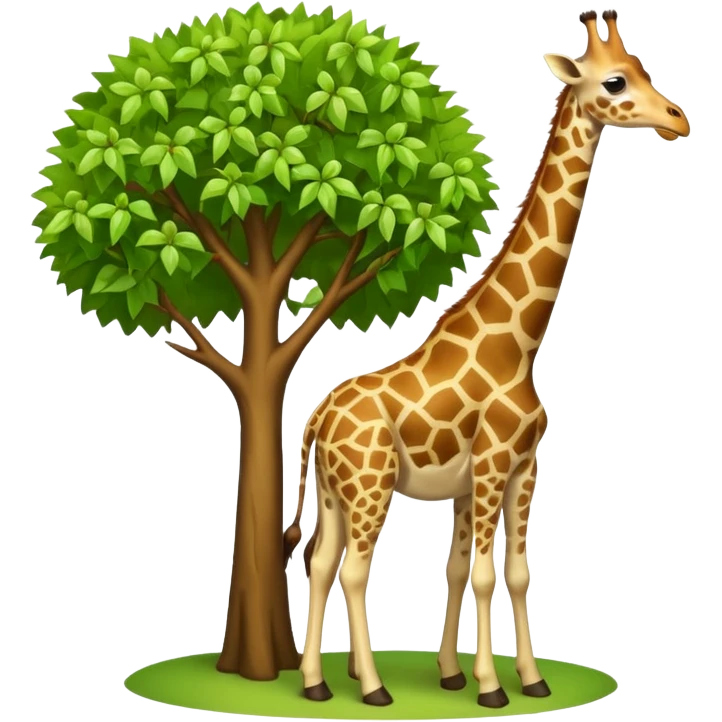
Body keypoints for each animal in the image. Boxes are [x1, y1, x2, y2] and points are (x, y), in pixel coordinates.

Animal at [283, 9, 690, 708]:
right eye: (615, 81)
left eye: (642, 68)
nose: (677, 119)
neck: (519, 344)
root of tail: (318, 418)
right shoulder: (495, 462)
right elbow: (481, 573)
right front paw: (490, 687)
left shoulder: (517, 469)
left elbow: (499, 571)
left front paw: (499, 678)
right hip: (370, 484)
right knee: (355, 569)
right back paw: (372, 688)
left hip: (335, 493)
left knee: (319, 559)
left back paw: (315, 684)